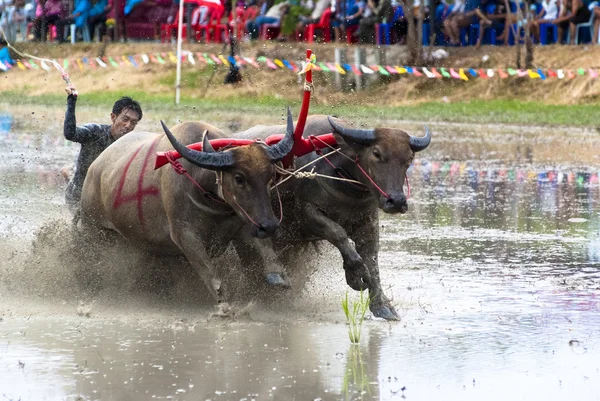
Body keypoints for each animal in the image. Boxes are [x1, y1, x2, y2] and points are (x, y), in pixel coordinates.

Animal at [79, 108, 296, 304]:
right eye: (239, 178)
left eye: (270, 176)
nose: (270, 226)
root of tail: (95, 169)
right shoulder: (185, 234)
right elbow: (212, 277)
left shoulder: (245, 222)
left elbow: (266, 251)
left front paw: (278, 278)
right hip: (94, 229)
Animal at [230, 115, 432, 318]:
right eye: (376, 153)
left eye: (409, 158)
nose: (396, 201)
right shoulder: (307, 214)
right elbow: (338, 233)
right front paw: (356, 275)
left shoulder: (368, 222)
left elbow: (372, 260)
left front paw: (382, 306)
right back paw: (272, 279)